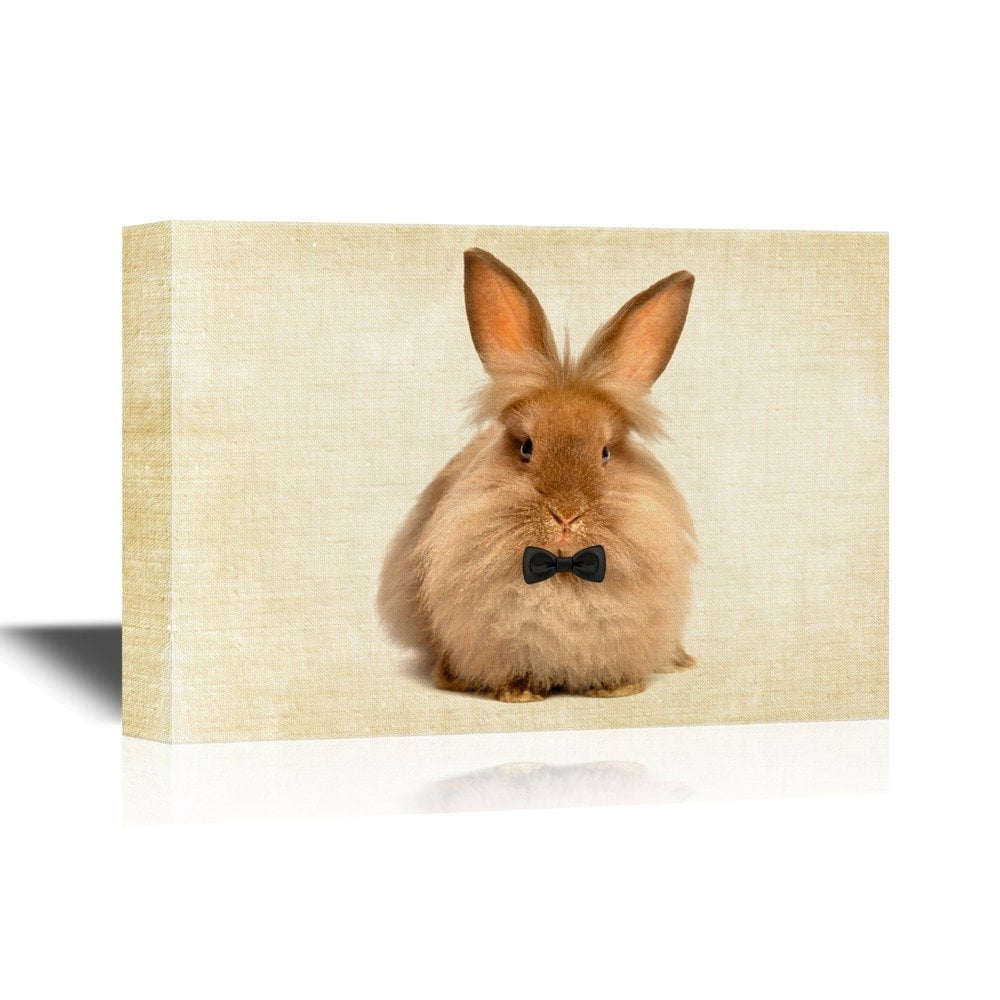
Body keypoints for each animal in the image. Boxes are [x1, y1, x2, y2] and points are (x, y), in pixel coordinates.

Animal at [378, 248, 696, 702]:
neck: (562, 567)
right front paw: (518, 693)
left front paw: (616, 689)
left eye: (605, 452)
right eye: (526, 447)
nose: (566, 515)